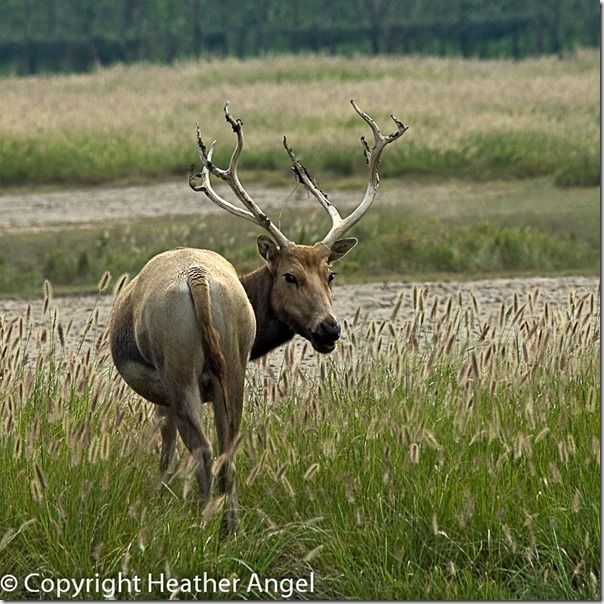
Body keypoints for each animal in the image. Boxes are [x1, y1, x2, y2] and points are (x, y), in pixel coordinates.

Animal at [110, 99, 408, 532]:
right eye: (290, 275)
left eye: (330, 274)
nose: (329, 328)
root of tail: (197, 279)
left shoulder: (162, 394)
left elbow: (165, 452)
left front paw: (160, 498)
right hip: (231, 365)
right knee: (227, 450)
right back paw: (228, 526)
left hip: (178, 368)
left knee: (203, 450)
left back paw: (205, 524)